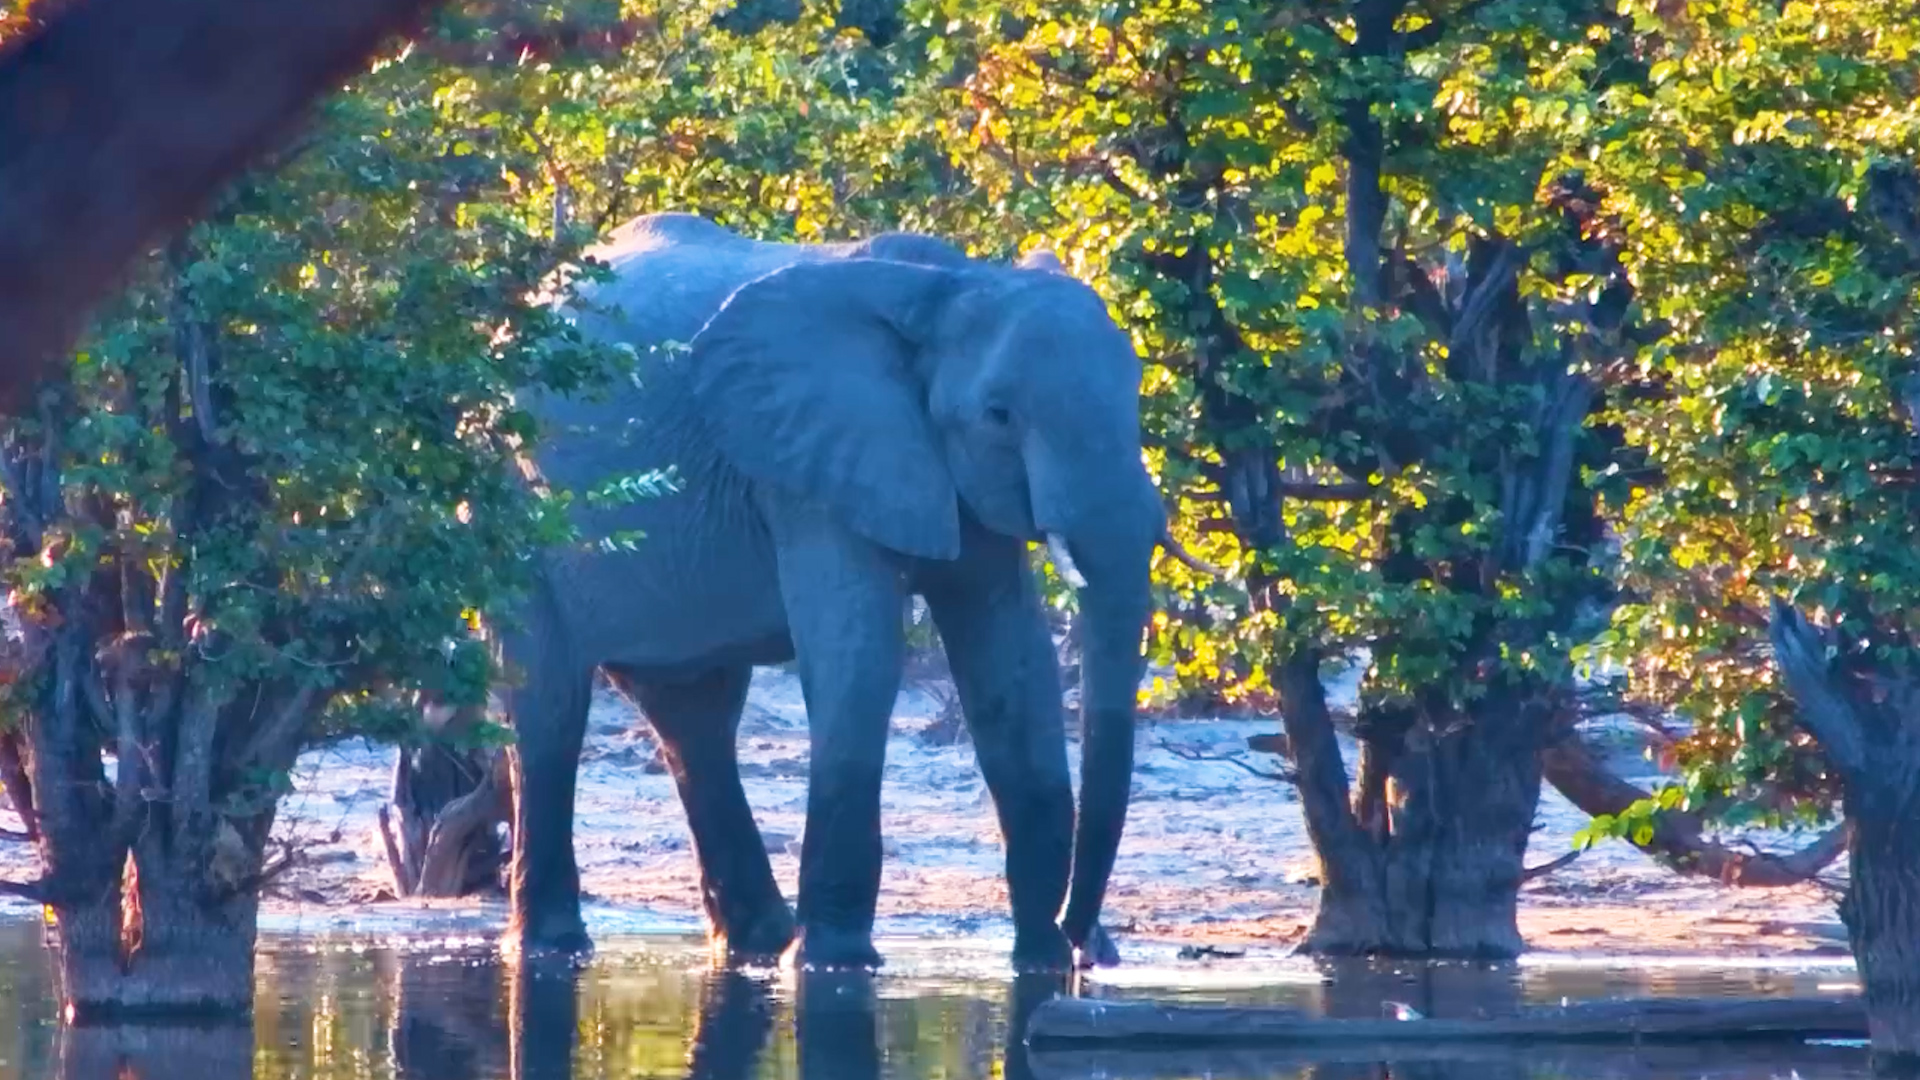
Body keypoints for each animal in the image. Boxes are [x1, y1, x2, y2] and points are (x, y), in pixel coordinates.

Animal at [500, 211, 1198, 972]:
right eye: (999, 415)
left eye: (1136, 393)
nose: (1086, 943)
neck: (951, 289)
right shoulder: (807, 467)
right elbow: (859, 660)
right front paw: (835, 964)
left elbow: (1012, 668)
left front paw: (1038, 964)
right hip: (508, 491)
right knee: (549, 707)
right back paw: (557, 947)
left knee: (694, 716)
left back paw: (756, 944)